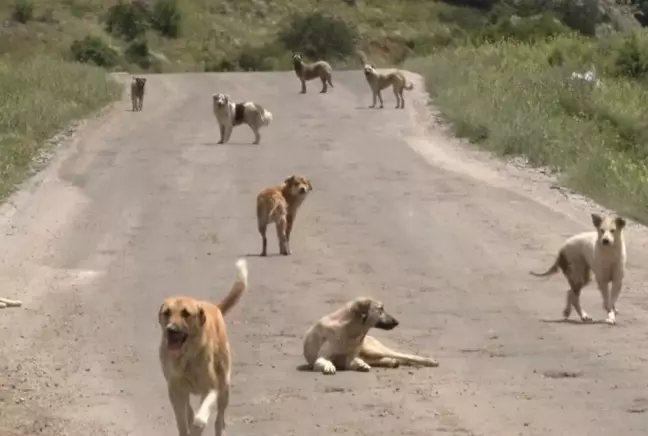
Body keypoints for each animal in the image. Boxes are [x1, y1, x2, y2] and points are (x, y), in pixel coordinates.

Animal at [157, 258, 248, 436]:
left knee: (219, 421)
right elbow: (183, 419)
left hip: (225, 387)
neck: (186, 357)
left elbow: (199, 420)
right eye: (167, 312)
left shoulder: (212, 390)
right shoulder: (175, 390)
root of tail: (213, 306)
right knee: (190, 411)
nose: (171, 329)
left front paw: (196, 427)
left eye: (186, 313)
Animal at [304, 296, 440, 374]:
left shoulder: (350, 358)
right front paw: (329, 366)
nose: (397, 322)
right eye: (381, 309)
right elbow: (323, 362)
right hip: (371, 353)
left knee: (405, 356)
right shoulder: (322, 357)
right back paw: (391, 362)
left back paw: (429, 361)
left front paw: (360, 365)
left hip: (373, 350)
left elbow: (352, 361)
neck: (350, 331)